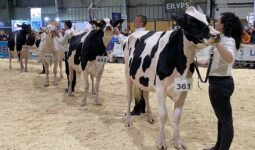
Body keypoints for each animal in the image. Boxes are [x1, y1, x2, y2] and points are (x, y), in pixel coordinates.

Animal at [124, 6, 220, 149]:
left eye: (208, 19)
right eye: (192, 21)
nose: (217, 35)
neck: (180, 65)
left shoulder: (183, 90)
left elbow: (177, 116)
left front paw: (177, 142)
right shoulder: (160, 89)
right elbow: (164, 115)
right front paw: (161, 142)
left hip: (145, 79)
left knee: (145, 95)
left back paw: (150, 117)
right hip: (127, 73)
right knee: (129, 97)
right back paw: (128, 121)